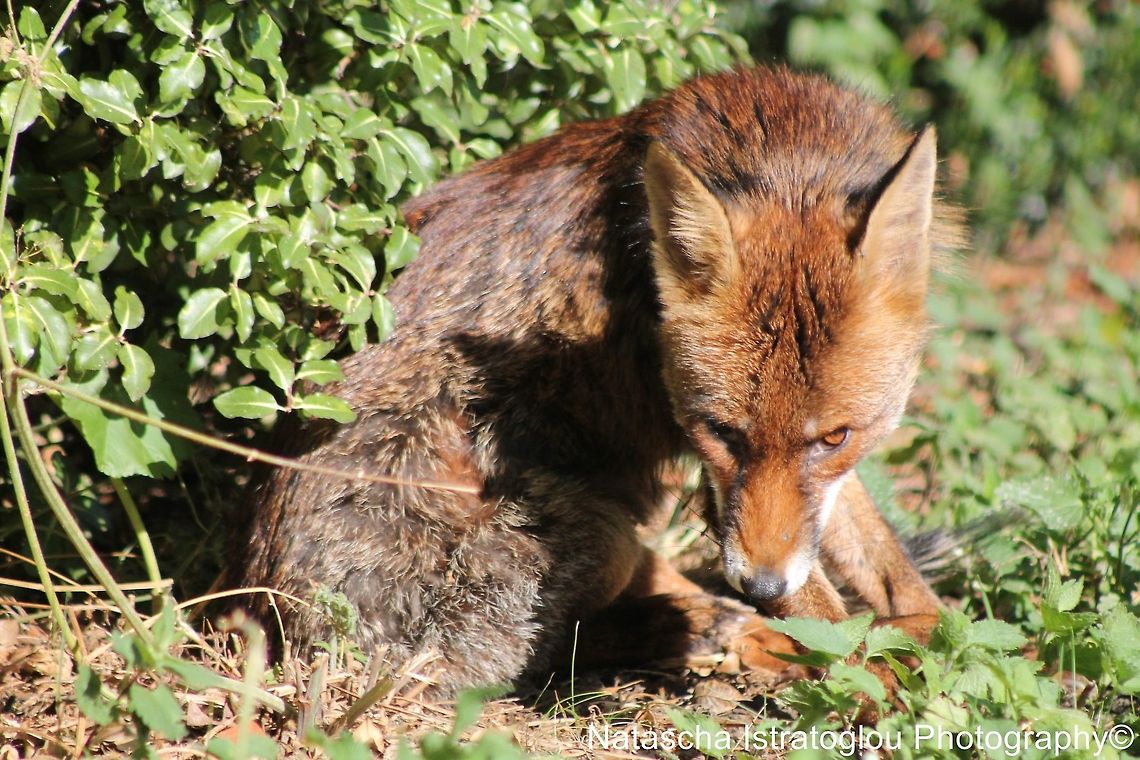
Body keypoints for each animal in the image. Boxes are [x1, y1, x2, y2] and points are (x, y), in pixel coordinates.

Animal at [234, 66, 962, 694]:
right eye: (723, 432)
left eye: (836, 438)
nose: (760, 587)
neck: (783, 161)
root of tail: (291, 627)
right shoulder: (709, 475)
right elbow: (835, 631)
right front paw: (886, 693)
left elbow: (884, 568)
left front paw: (934, 631)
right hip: (599, 525)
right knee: (566, 646)